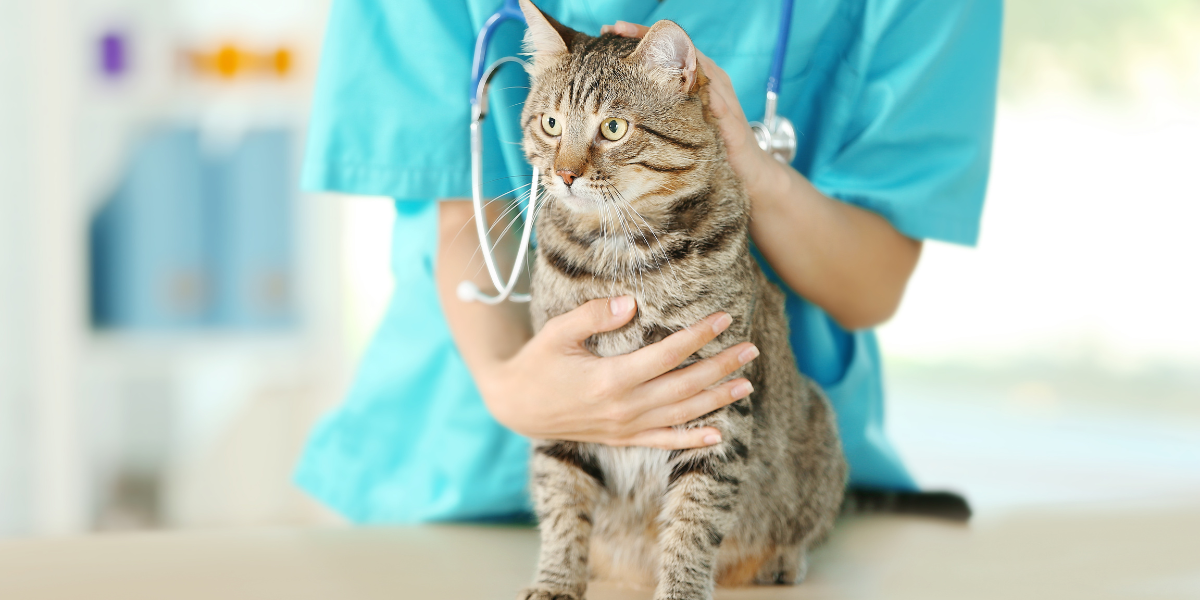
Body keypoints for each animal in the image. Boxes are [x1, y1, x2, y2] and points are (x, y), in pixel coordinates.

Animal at [513, 2, 844, 597]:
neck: (620, 257)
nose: (565, 173)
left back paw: (782, 559)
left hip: (818, 427)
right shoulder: (563, 386)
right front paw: (556, 580)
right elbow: (562, 501)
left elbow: (694, 519)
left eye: (613, 128)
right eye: (550, 124)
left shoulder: (717, 400)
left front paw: (681, 586)